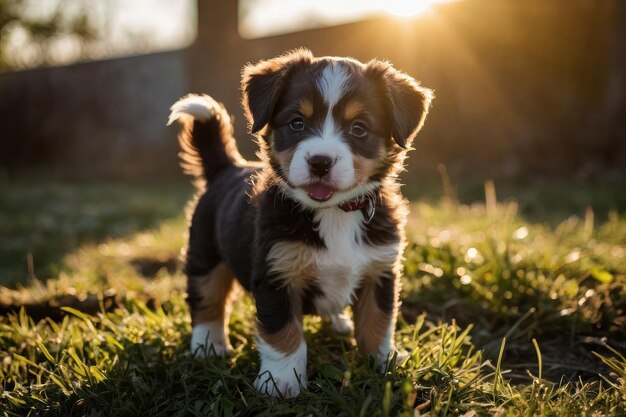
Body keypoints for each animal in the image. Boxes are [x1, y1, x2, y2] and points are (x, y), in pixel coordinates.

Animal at [166, 48, 432, 396]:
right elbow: (283, 332)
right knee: (206, 298)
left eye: (359, 128)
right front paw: (281, 381)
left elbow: (377, 322)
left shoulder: (380, 268)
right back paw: (208, 346)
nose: (320, 162)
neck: (334, 213)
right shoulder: (276, 274)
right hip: (204, 252)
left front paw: (384, 364)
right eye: (297, 123)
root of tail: (226, 167)